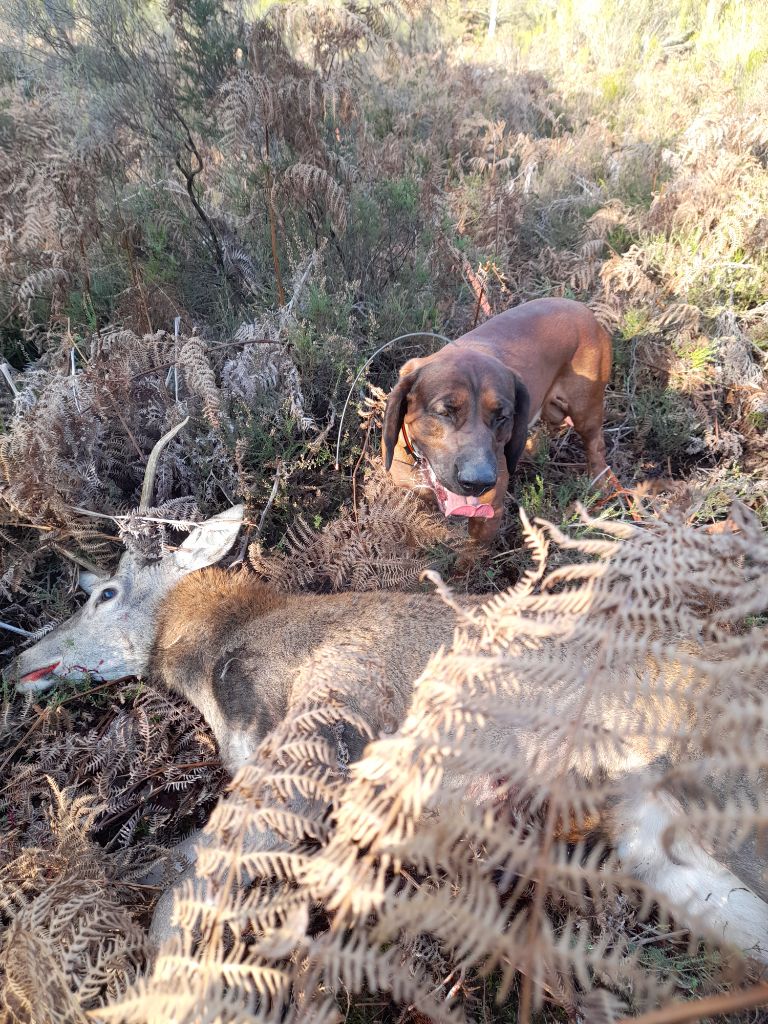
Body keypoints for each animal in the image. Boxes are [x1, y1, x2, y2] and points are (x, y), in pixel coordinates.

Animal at [6, 421, 768, 958]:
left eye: (102, 593)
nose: (20, 660)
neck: (219, 662)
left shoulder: (325, 726)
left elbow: (178, 900)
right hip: (650, 831)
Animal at [385, 299, 614, 544]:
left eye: (502, 417)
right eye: (444, 412)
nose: (478, 482)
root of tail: (584, 309)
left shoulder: (489, 515)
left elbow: (472, 551)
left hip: (585, 409)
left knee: (595, 444)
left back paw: (599, 485)